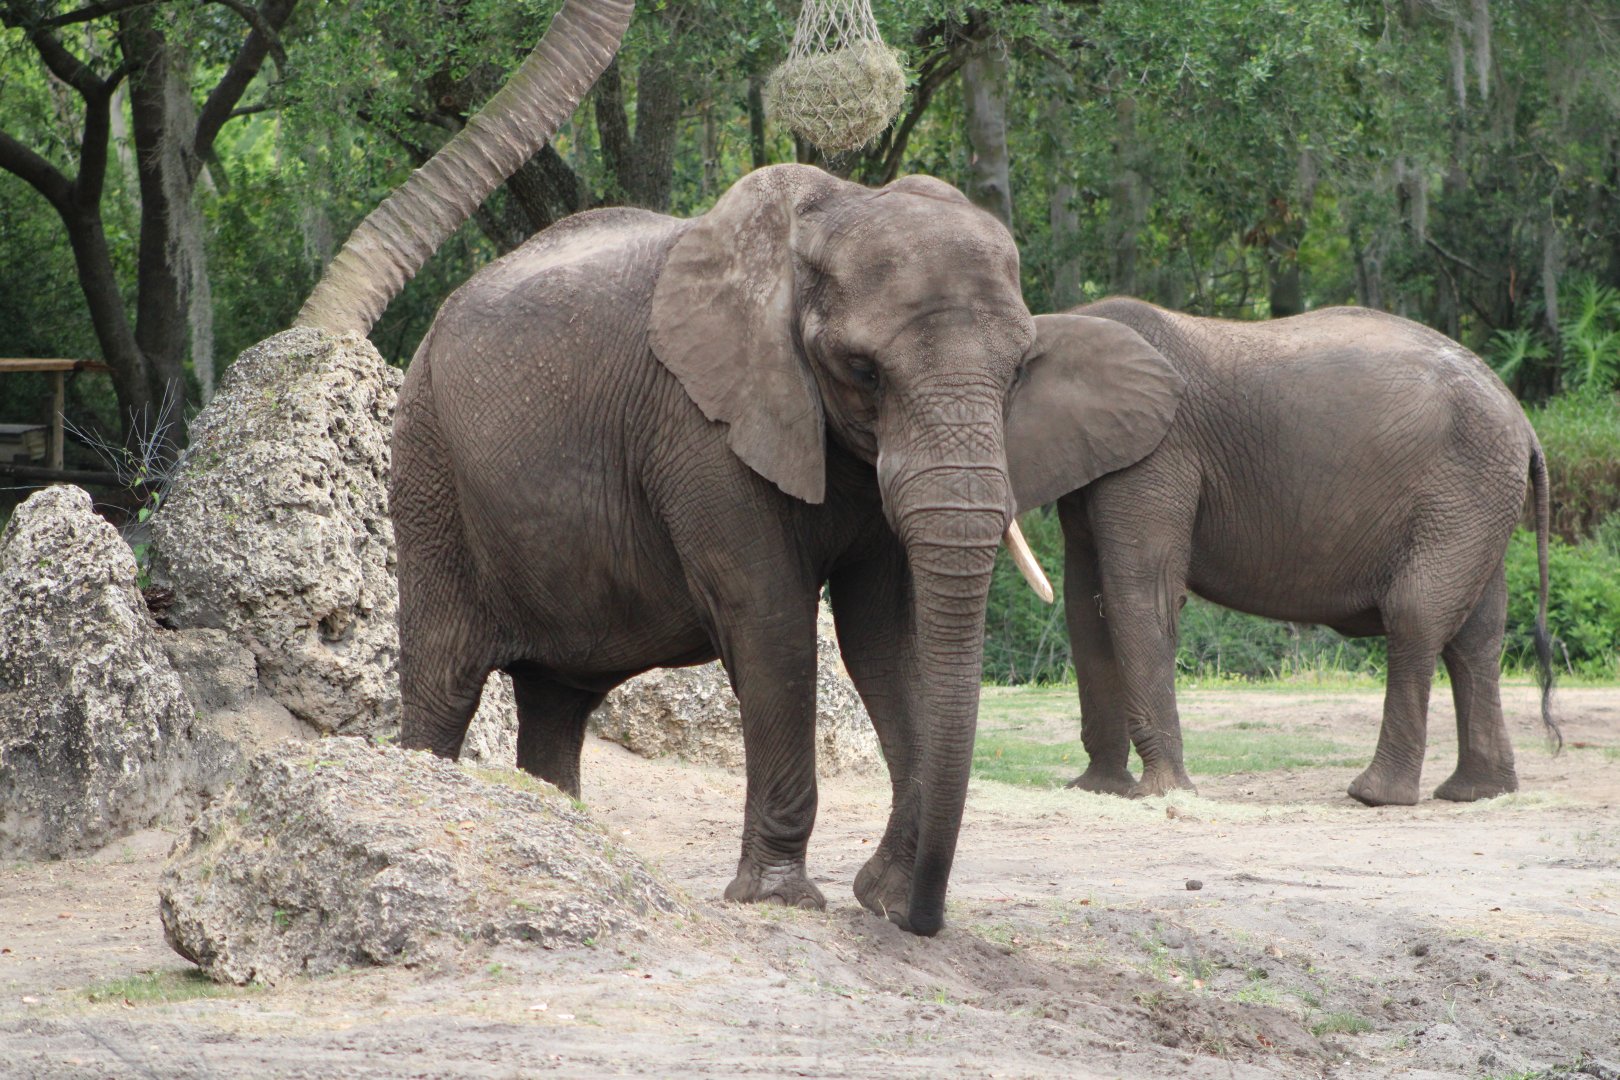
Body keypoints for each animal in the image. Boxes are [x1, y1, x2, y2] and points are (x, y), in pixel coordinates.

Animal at [387, 166, 1184, 935]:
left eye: (1019, 370)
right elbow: (771, 623)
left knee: (557, 703)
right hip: (427, 461)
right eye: (863, 370)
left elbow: (886, 639)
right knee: (445, 677)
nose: (921, 920)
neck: (831, 215)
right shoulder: (701, 425)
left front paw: (881, 896)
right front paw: (782, 899)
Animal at [1005, 298, 1557, 807]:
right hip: (1478, 502)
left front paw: (1162, 795)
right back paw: (1476, 793)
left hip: (1462, 491)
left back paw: (1374, 795)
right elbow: (1085, 602)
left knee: (1416, 614)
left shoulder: (1159, 453)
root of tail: (1526, 425)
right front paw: (1096, 790)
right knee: (1477, 635)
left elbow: (1140, 595)